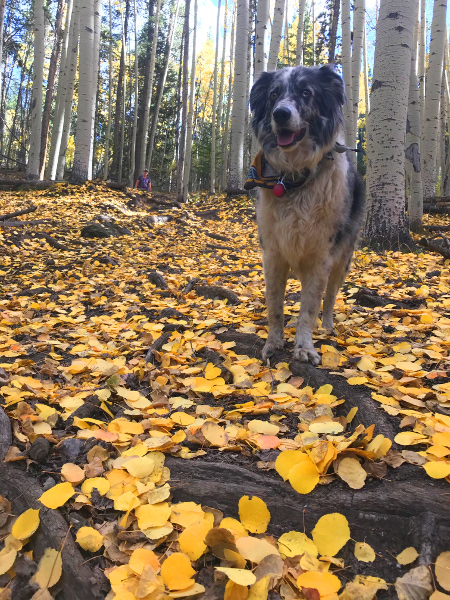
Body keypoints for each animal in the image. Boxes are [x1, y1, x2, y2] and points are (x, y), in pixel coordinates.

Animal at [248, 65, 368, 366]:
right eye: (273, 94)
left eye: (306, 93)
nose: (280, 114)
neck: (294, 177)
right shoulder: (273, 254)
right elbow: (275, 305)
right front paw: (273, 343)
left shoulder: (321, 258)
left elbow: (310, 307)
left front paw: (304, 347)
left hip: (342, 261)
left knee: (330, 298)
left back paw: (327, 327)